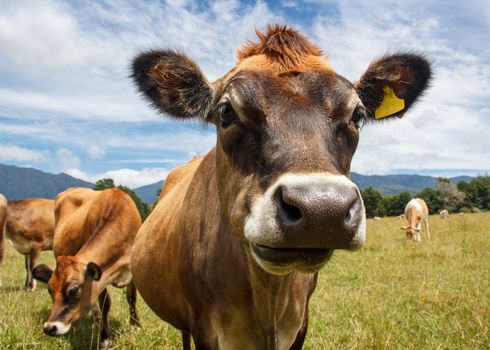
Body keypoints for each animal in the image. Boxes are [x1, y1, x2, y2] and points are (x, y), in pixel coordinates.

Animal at [32, 189, 141, 348]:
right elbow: (105, 304)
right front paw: (105, 339)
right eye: (49, 290)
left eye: (73, 290)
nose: (49, 327)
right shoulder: (101, 277)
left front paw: (135, 325)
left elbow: (131, 298)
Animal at [131, 23, 432, 348]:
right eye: (226, 111)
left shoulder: (300, 324)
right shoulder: (204, 330)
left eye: (357, 114)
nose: (322, 211)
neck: (268, 300)